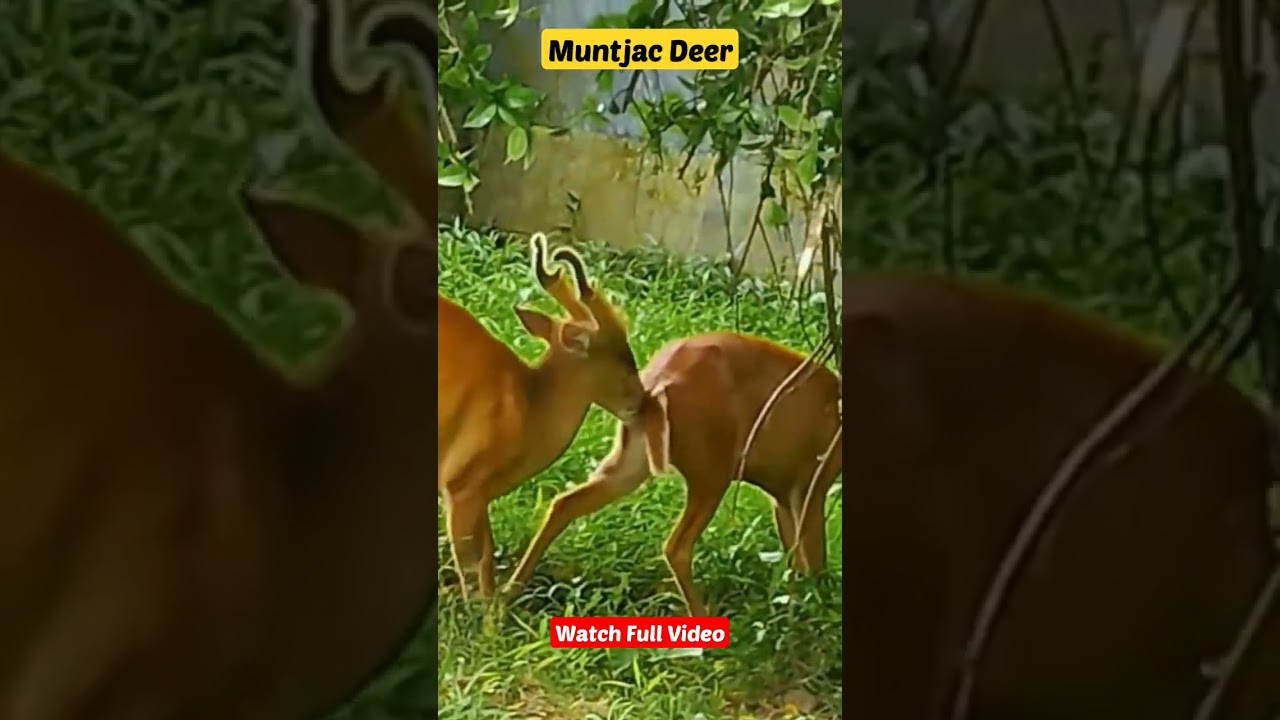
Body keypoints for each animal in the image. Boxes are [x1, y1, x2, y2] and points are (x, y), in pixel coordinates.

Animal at [438, 232, 646, 600]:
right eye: (623, 357)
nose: (643, 400)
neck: (528, 409)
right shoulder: (458, 482)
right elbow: (471, 569)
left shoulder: (478, 494)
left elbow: (487, 560)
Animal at [503, 332, 842, 616]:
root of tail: (655, 388)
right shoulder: (811, 480)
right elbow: (814, 559)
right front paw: (818, 609)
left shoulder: (782, 491)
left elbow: (796, 559)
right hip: (711, 470)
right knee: (676, 546)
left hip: (630, 459)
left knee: (564, 502)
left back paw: (508, 594)